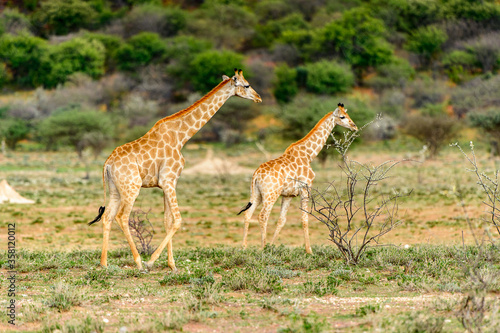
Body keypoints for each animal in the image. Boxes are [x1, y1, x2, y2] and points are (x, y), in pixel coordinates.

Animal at [90, 69, 262, 270]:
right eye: (247, 85)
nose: (258, 98)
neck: (181, 137)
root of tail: (107, 164)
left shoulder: (166, 184)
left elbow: (168, 220)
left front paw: (172, 265)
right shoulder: (169, 180)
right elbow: (178, 220)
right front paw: (152, 260)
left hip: (115, 189)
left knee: (107, 216)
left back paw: (104, 263)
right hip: (132, 187)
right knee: (122, 217)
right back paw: (139, 262)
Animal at [237, 102, 356, 253]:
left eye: (347, 114)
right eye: (342, 117)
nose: (354, 126)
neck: (309, 154)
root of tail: (256, 175)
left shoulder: (288, 195)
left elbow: (282, 221)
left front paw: (272, 246)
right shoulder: (305, 189)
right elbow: (304, 219)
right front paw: (309, 250)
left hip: (257, 194)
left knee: (248, 214)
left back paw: (244, 247)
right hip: (270, 195)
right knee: (262, 216)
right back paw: (262, 248)